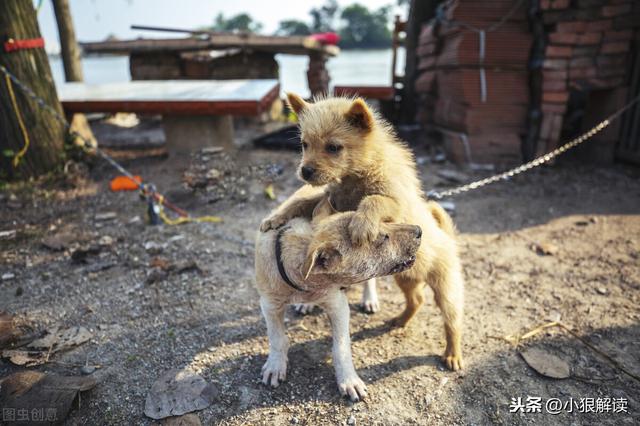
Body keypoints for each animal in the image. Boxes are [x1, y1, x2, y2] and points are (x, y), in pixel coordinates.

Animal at [255, 210, 420, 400]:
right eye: (382, 238)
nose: (419, 230)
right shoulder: (269, 305)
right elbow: (277, 338)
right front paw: (275, 366)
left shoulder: (338, 306)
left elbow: (341, 348)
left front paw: (349, 381)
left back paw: (369, 299)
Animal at [260, 95, 464, 372]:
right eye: (304, 144)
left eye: (333, 147)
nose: (305, 172)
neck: (357, 176)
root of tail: (446, 237)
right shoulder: (330, 199)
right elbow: (302, 202)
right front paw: (274, 218)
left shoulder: (393, 204)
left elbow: (374, 200)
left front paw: (362, 223)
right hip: (405, 275)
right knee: (417, 299)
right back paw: (400, 320)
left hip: (446, 288)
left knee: (452, 321)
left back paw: (453, 354)